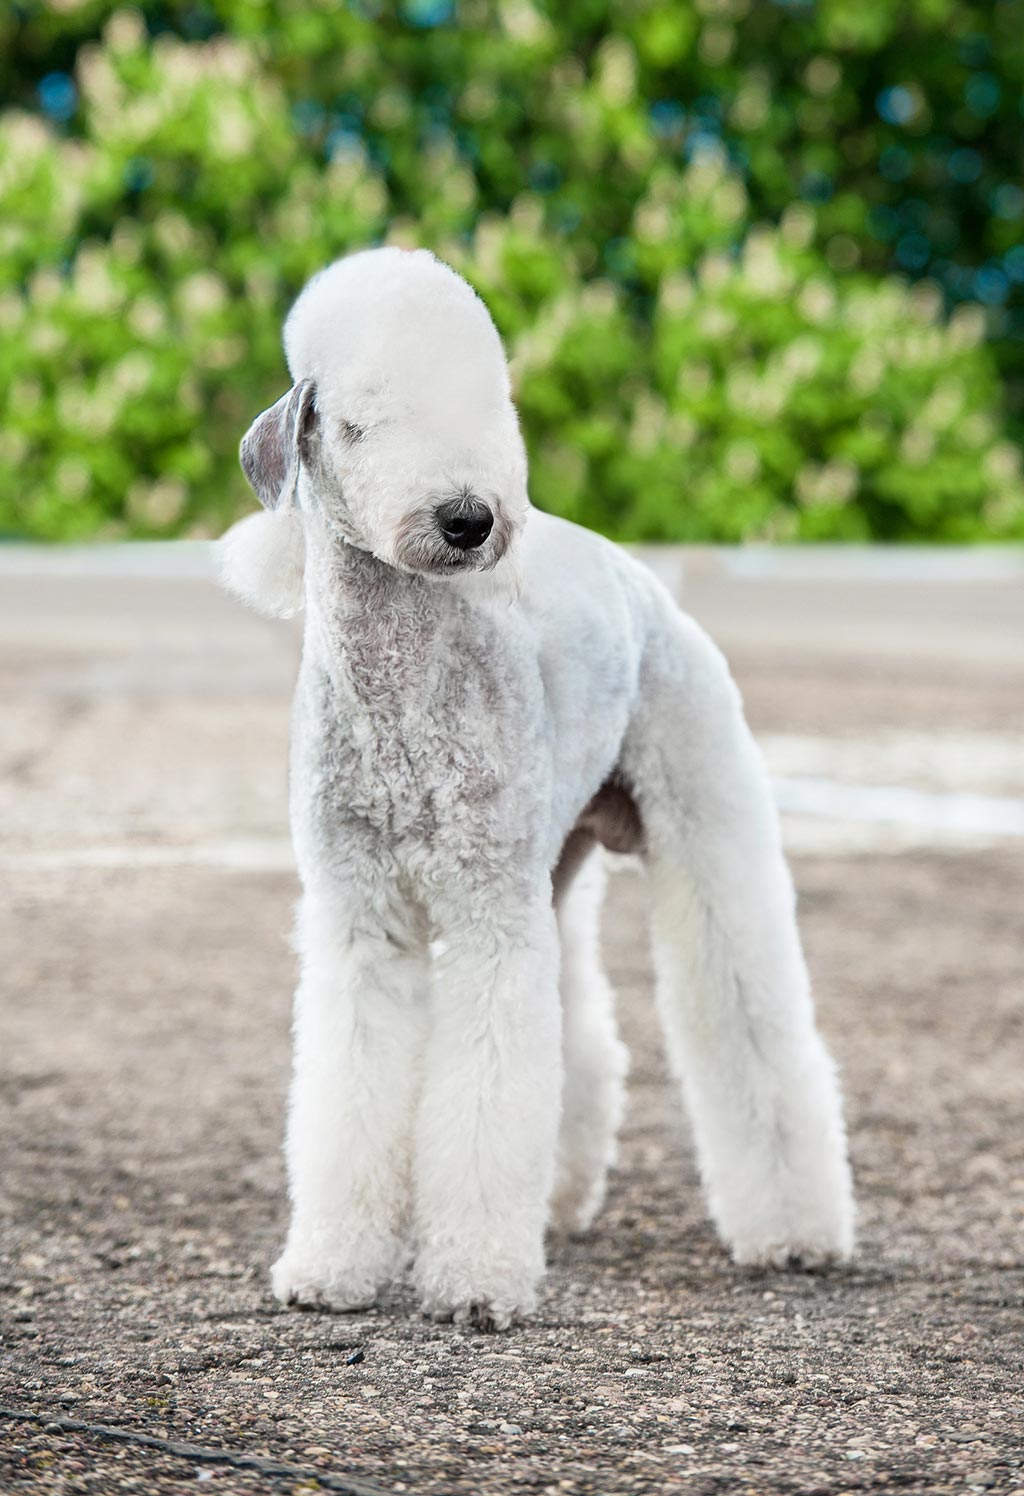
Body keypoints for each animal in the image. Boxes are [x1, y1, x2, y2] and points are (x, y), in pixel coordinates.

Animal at [220, 248, 850, 1334]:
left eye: (487, 406)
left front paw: (475, 1281)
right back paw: (556, 1198)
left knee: (749, 1014)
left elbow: (486, 1092)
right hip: (548, 867)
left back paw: (798, 1232)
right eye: (359, 423)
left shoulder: (487, 917)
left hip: (697, 820)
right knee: (582, 1040)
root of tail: (631, 569)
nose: (470, 517)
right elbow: (354, 1092)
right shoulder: (363, 916)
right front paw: (334, 1266)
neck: (404, 680)